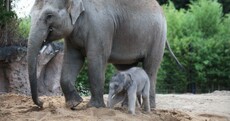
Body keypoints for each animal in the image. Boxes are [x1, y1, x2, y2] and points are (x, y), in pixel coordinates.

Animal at [27, 0, 178, 108]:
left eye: (49, 16)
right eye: (30, 15)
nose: (42, 103)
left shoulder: (100, 26)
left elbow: (96, 59)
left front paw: (94, 107)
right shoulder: (72, 35)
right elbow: (72, 59)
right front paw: (74, 104)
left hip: (157, 36)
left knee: (150, 68)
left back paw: (149, 108)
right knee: (128, 68)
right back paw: (125, 107)